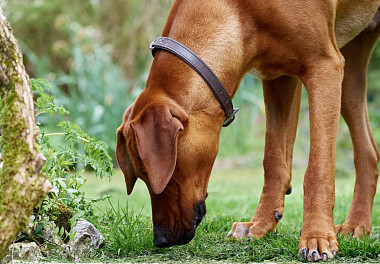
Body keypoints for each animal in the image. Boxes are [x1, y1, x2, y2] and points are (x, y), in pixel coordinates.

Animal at [116, 0, 380, 260]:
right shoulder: (278, 77)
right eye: (141, 175)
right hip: (350, 73)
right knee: (369, 152)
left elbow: (318, 170)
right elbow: (273, 162)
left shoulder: (324, 66)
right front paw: (260, 224)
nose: (160, 240)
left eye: (148, 173)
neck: (240, 12)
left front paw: (317, 236)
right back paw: (357, 225)